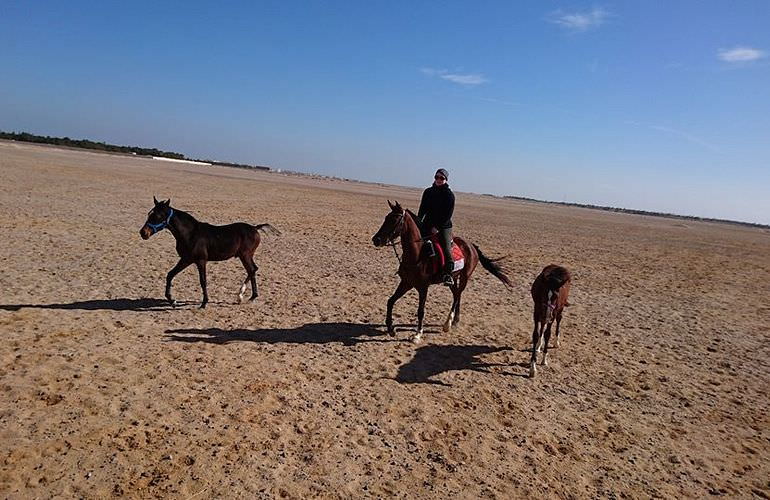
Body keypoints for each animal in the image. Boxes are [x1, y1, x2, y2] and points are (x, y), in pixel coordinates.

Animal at [140, 196, 280, 308]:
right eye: (149, 214)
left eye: (158, 216)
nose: (143, 233)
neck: (191, 234)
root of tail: (255, 228)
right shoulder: (186, 259)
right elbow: (170, 275)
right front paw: (172, 301)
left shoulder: (201, 261)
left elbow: (203, 281)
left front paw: (204, 303)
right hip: (245, 256)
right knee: (253, 270)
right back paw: (250, 296)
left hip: (245, 255)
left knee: (252, 270)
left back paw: (241, 295)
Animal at [370, 199, 510, 344]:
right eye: (386, 218)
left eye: (394, 220)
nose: (376, 240)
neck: (418, 254)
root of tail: (471, 246)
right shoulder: (406, 283)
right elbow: (390, 301)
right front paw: (391, 328)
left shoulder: (423, 287)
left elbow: (420, 310)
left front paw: (418, 334)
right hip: (453, 278)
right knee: (456, 294)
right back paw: (455, 321)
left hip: (465, 276)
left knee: (458, 295)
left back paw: (448, 324)